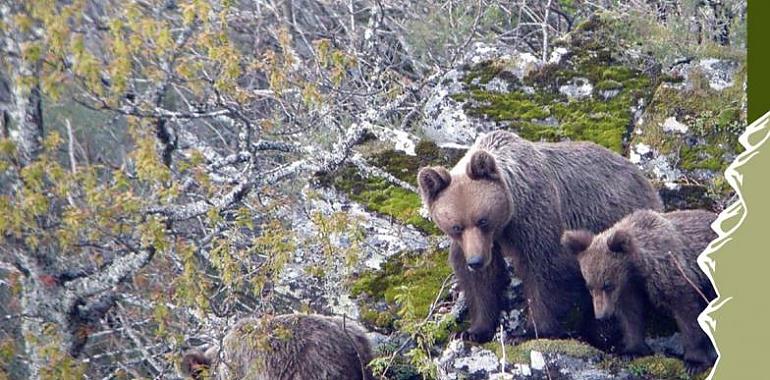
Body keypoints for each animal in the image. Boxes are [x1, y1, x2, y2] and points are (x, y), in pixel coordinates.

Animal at [414, 130, 660, 342]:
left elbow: (544, 270)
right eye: (456, 226)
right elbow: (481, 282)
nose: (476, 261)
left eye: (482, 220)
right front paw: (474, 330)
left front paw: (535, 330)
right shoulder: (478, 243)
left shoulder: (535, 217)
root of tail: (646, 182)